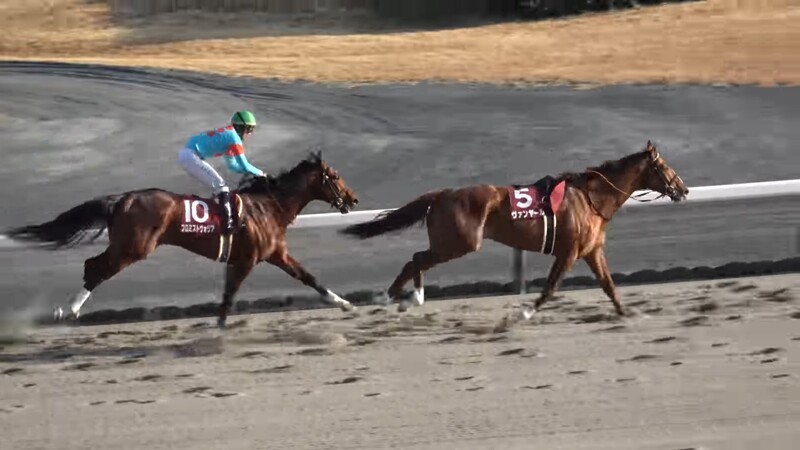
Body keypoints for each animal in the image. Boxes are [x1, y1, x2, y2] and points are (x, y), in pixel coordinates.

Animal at [6, 151, 360, 326]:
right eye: (336, 176)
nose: (353, 199)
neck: (270, 206)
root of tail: (123, 198)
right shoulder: (246, 260)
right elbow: (229, 294)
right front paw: (219, 329)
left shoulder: (275, 254)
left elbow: (308, 277)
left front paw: (343, 303)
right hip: (134, 247)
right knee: (96, 268)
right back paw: (69, 310)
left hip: (127, 245)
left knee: (92, 265)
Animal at [338, 142, 688, 318]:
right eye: (666, 166)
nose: (683, 189)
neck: (591, 197)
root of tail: (441, 194)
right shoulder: (569, 251)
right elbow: (550, 287)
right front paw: (526, 313)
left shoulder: (591, 251)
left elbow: (609, 285)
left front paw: (627, 313)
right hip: (459, 243)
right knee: (416, 259)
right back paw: (392, 296)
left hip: (452, 243)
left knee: (417, 260)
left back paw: (405, 297)